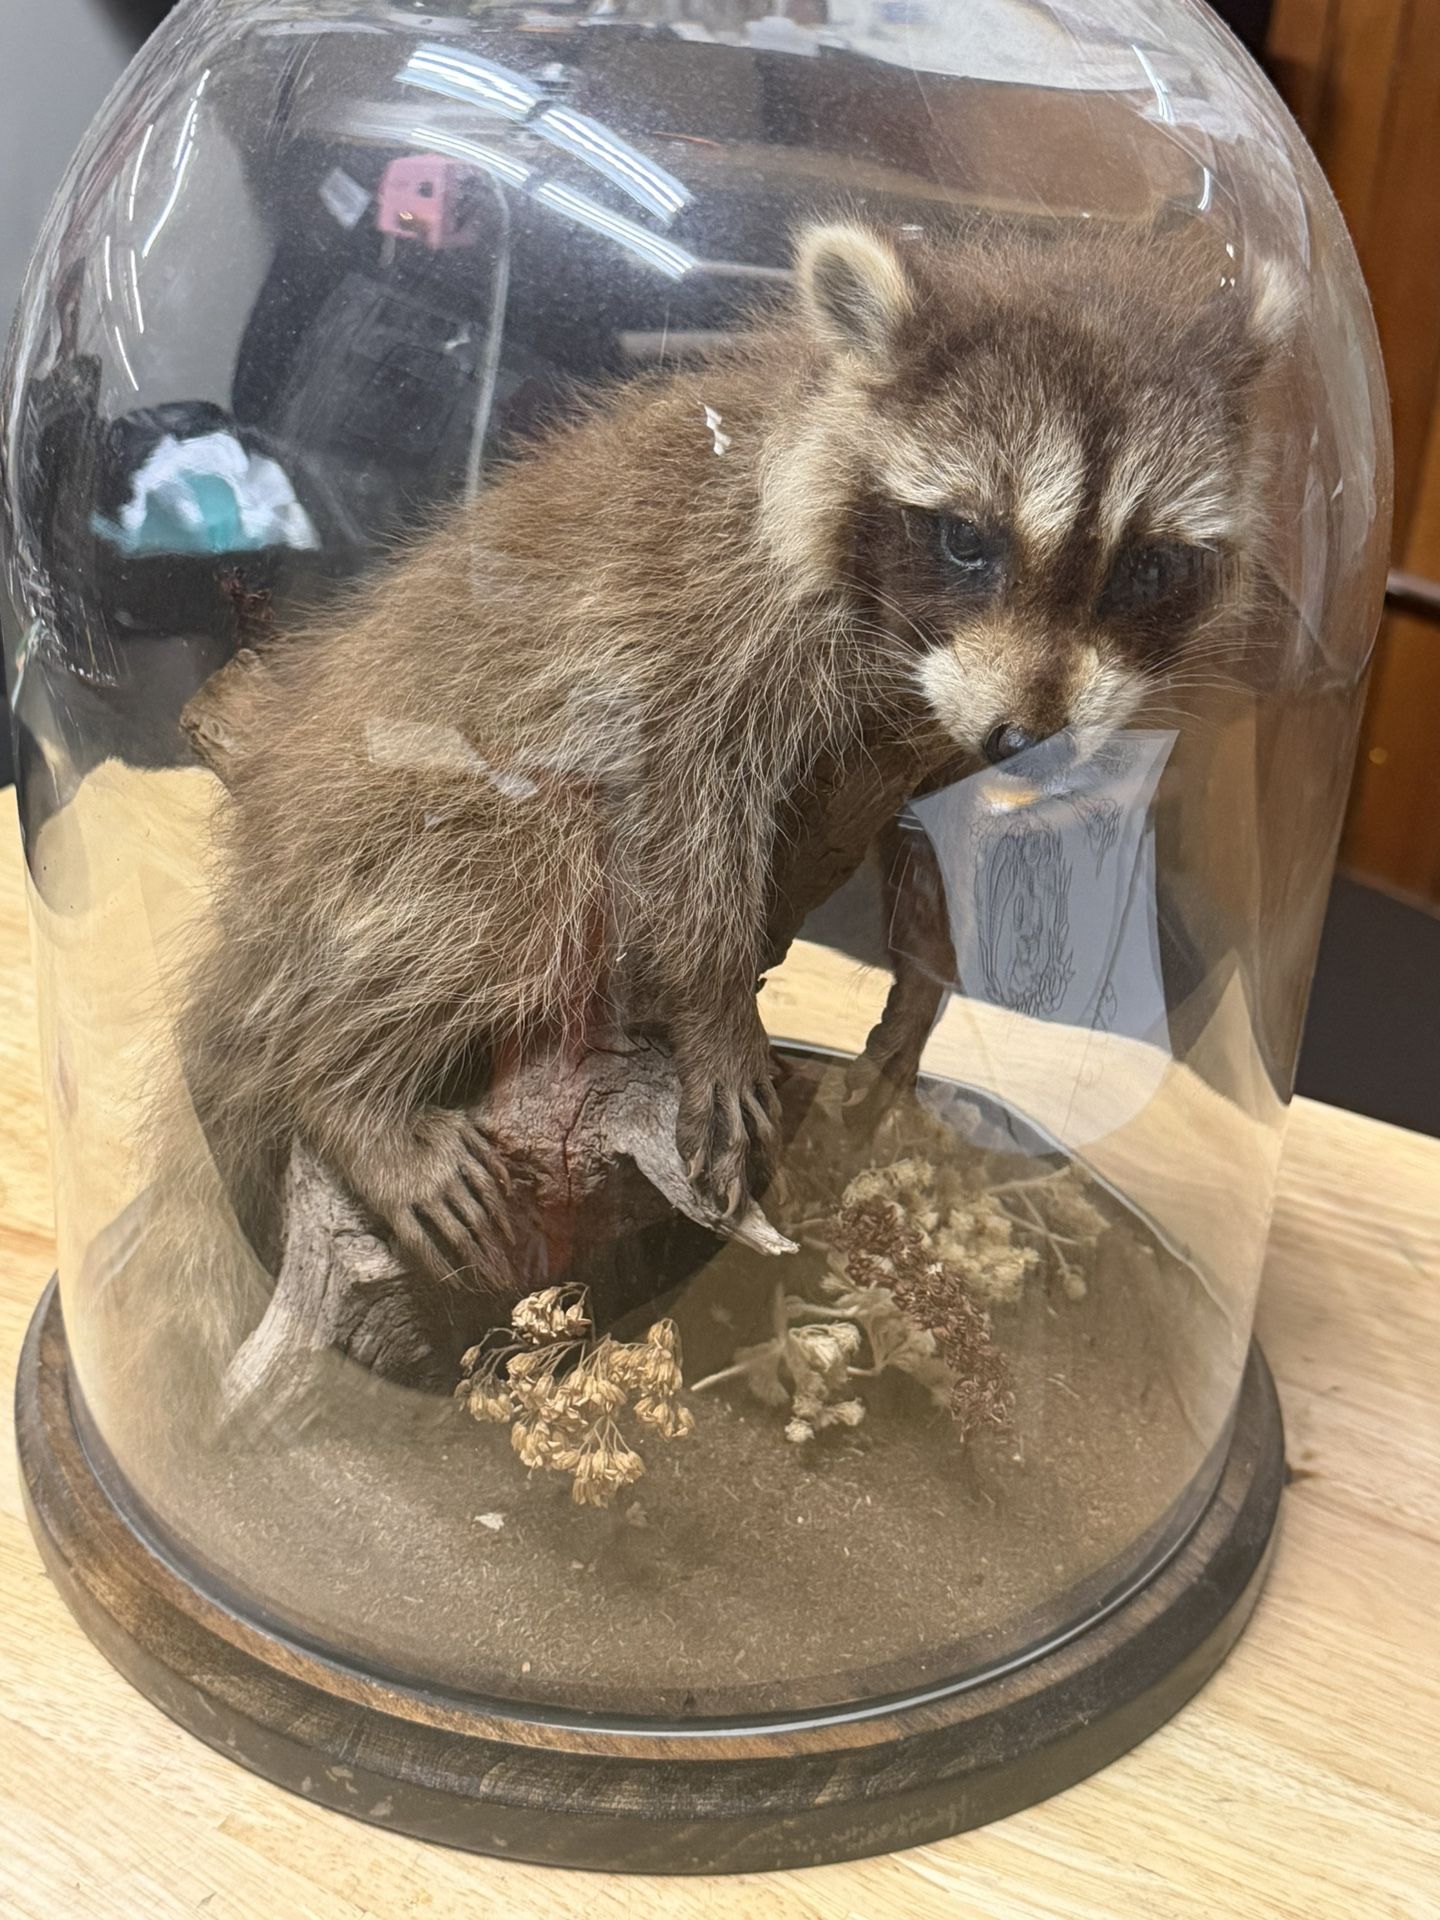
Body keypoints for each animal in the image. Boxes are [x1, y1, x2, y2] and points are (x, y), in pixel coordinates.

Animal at [180, 217, 1288, 1298]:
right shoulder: (711, 623)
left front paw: (923, 983)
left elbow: (933, 837)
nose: (1035, 745)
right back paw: (341, 1081)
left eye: (1146, 566)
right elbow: (686, 804)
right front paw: (715, 1007)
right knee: (521, 870)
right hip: (391, 825)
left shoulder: (929, 731)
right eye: (969, 539)